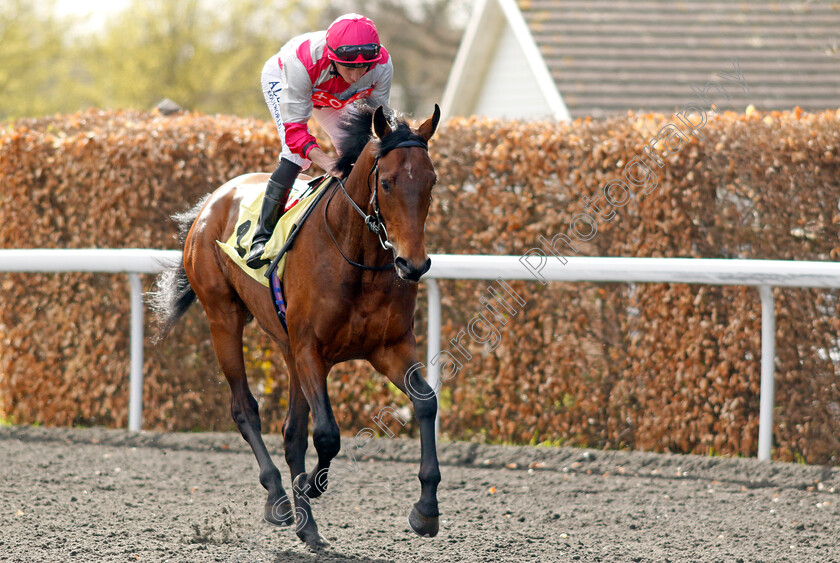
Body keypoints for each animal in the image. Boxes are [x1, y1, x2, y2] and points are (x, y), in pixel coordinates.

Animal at [150, 107, 442, 552]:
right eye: (387, 182)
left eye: (431, 181)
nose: (413, 264)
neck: (357, 258)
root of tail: (211, 201)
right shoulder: (310, 350)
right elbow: (327, 435)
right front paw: (313, 485)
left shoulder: (390, 347)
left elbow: (425, 402)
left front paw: (426, 510)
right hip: (223, 317)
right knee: (245, 409)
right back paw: (279, 499)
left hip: (287, 348)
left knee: (291, 431)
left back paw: (305, 521)